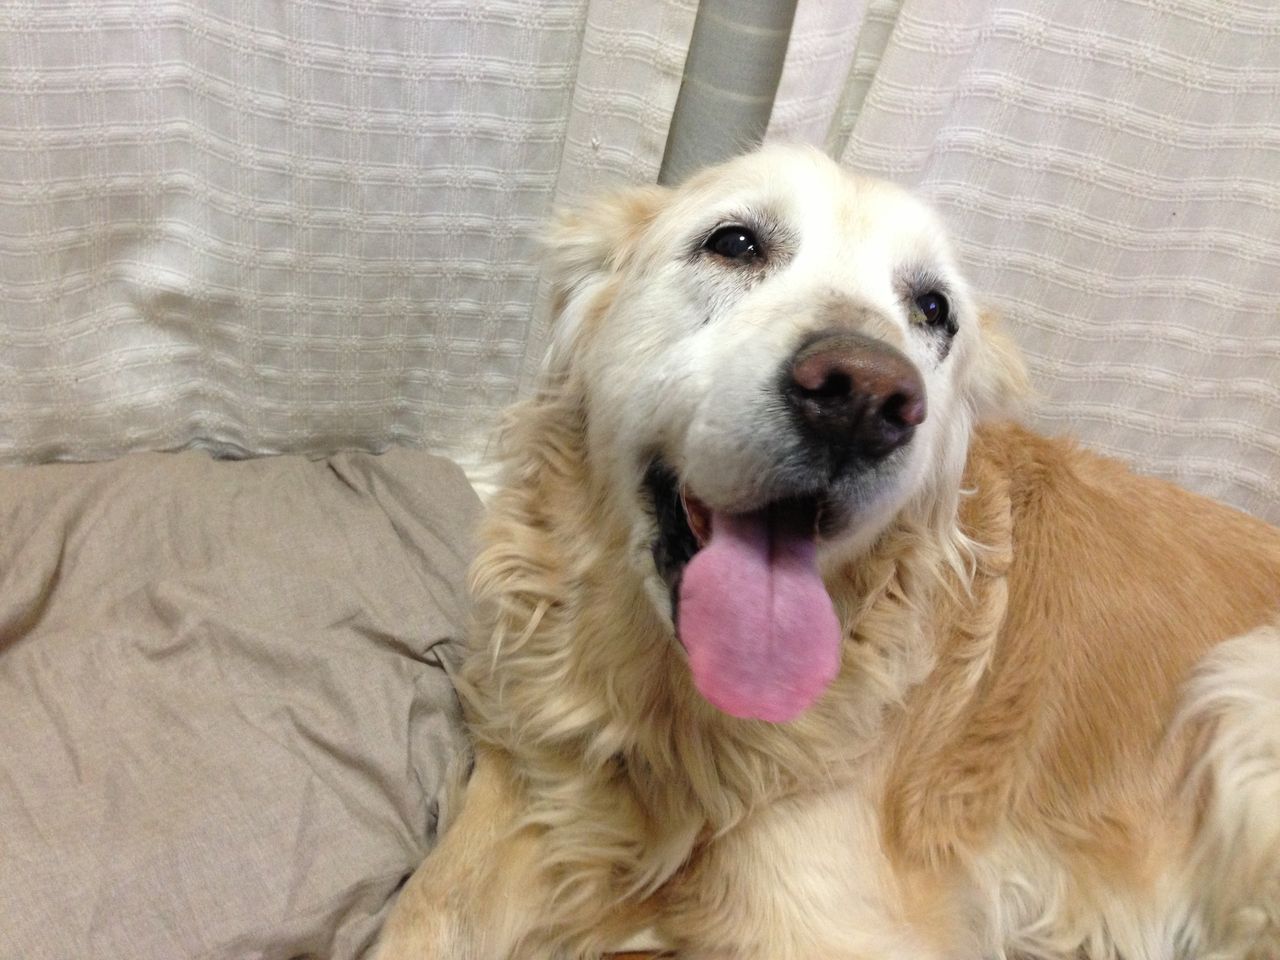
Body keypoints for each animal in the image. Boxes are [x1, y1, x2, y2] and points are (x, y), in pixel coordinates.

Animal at [376, 145, 1280, 959]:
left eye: (933, 309)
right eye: (735, 242)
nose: (865, 398)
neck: (666, 729)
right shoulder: (521, 773)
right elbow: (425, 913)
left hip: (1244, 689)